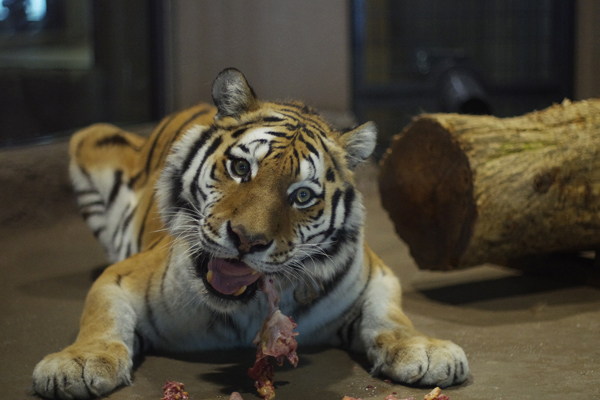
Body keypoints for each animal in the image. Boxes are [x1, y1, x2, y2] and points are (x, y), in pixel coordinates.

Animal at [31, 67, 468, 398]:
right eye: (241, 168)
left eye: (302, 196)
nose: (246, 239)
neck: (245, 308)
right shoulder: (121, 277)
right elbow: (101, 319)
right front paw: (80, 362)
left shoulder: (376, 274)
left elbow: (391, 315)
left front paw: (424, 350)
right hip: (88, 139)